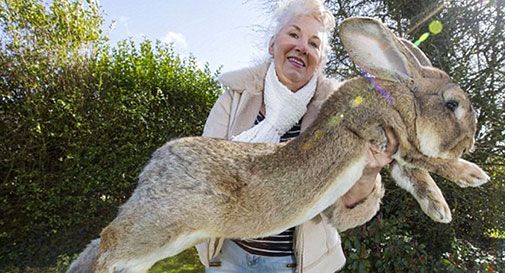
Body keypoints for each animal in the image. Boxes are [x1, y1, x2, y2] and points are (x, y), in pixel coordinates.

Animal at [67, 17, 488, 272]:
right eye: (452, 105)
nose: (471, 141)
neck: (398, 95)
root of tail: (153, 168)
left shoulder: (395, 154)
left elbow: (414, 174)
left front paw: (440, 209)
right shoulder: (388, 134)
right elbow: (426, 161)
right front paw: (472, 175)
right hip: (158, 227)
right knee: (110, 240)